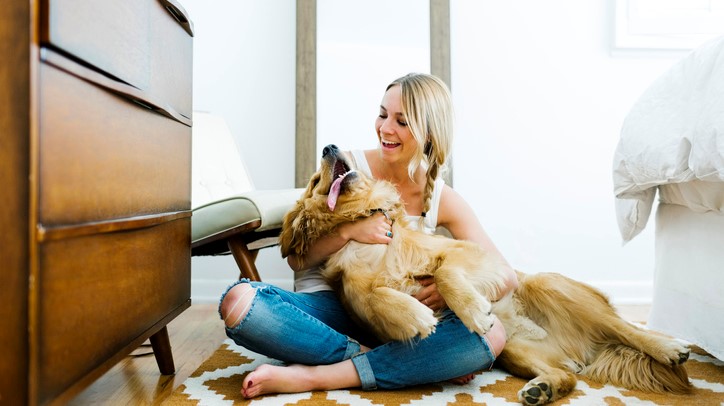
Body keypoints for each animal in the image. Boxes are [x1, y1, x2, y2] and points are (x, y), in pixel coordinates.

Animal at [280, 144, 692, 404]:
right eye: (316, 182)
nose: (329, 146)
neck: (366, 232)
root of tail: (588, 350)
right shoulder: (359, 301)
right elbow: (377, 296)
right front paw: (416, 316)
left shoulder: (469, 253)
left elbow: (444, 273)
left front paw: (471, 310)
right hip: (513, 348)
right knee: (569, 377)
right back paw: (541, 389)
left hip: (548, 285)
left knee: (627, 329)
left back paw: (670, 347)